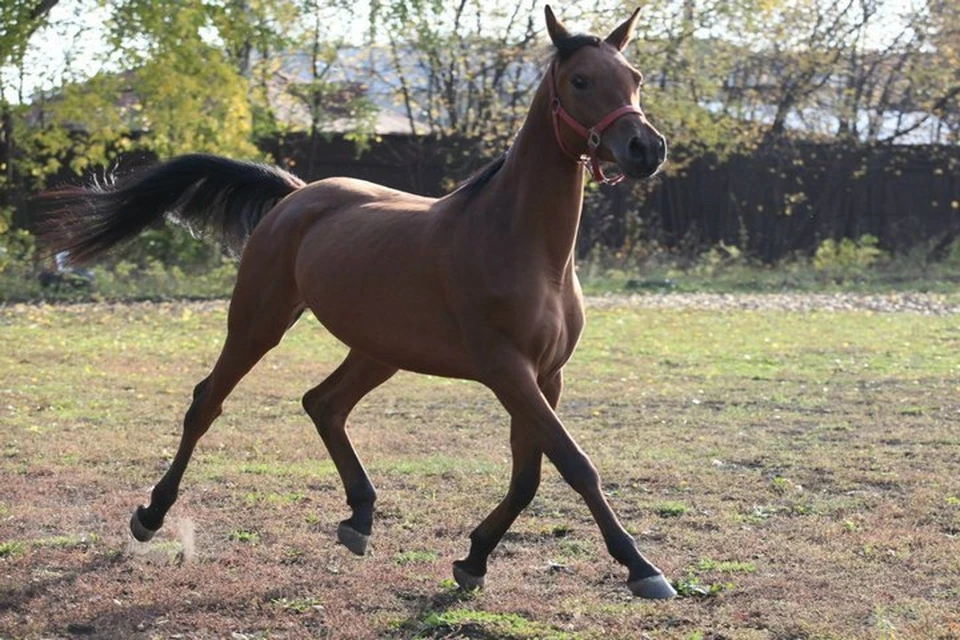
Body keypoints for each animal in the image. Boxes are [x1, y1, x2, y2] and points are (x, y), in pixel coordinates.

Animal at [39, 6, 676, 600]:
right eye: (580, 81)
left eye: (635, 77)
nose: (645, 148)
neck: (524, 244)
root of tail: (295, 195)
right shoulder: (507, 371)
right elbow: (575, 464)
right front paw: (642, 568)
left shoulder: (546, 376)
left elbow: (530, 477)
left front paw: (473, 560)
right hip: (258, 323)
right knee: (207, 404)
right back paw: (150, 516)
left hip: (378, 351)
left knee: (324, 404)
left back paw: (360, 517)